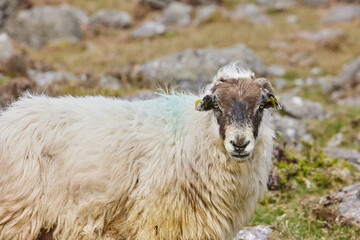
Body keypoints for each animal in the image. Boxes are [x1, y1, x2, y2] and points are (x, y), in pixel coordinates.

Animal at [0, 62, 282, 240]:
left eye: (260, 107)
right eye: (217, 107)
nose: (240, 143)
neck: (193, 134)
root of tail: (11, 116)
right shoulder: (160, 219)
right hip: (15, 214)